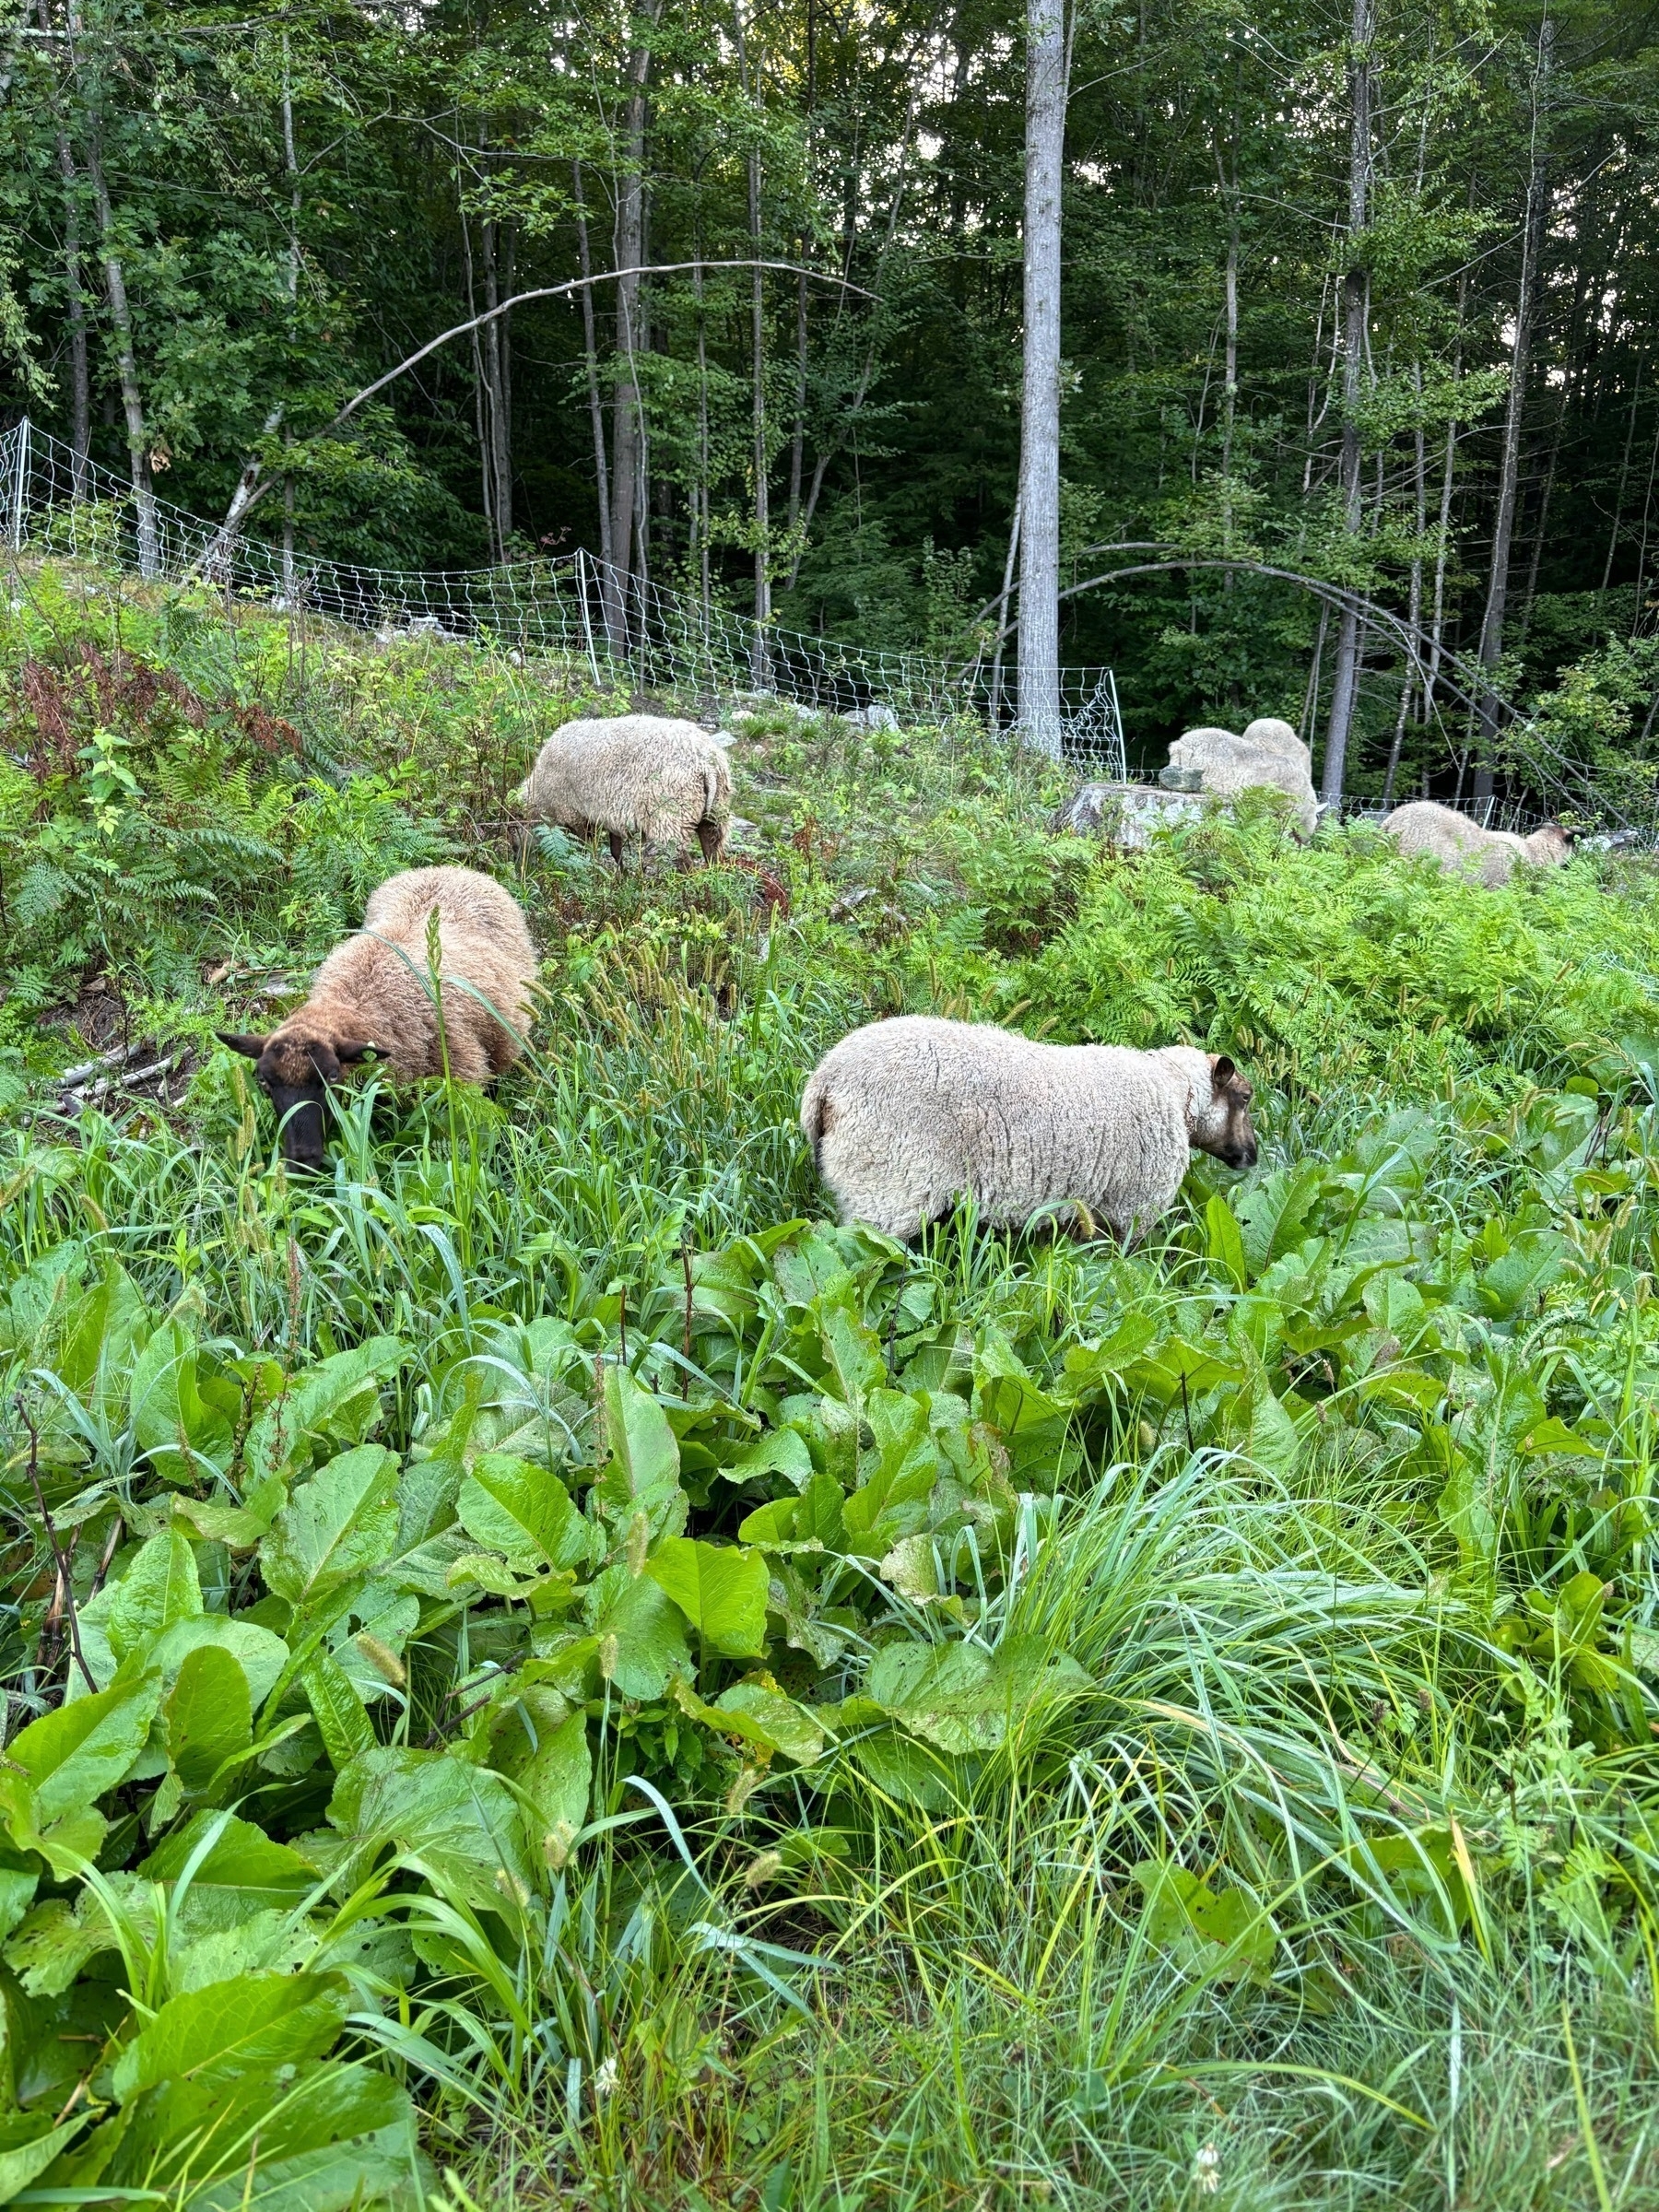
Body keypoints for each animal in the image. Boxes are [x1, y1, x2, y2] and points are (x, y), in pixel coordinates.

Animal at [517, 721, 730, 866]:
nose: (518, 861)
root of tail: (706, 763)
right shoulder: (609, 816)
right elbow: (615, 851)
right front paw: (621, 879)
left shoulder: (574, 814)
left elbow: (587, 850)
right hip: (715, 814)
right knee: (715, 857)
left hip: (671, 817)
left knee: (684, 863)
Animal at [805, 1018, 1256, 1247]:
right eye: (1246, 1097)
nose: (1253, 1156)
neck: (1175, 1093)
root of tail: (825, 1081)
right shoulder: (1133, 1209)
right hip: (887, 1185)